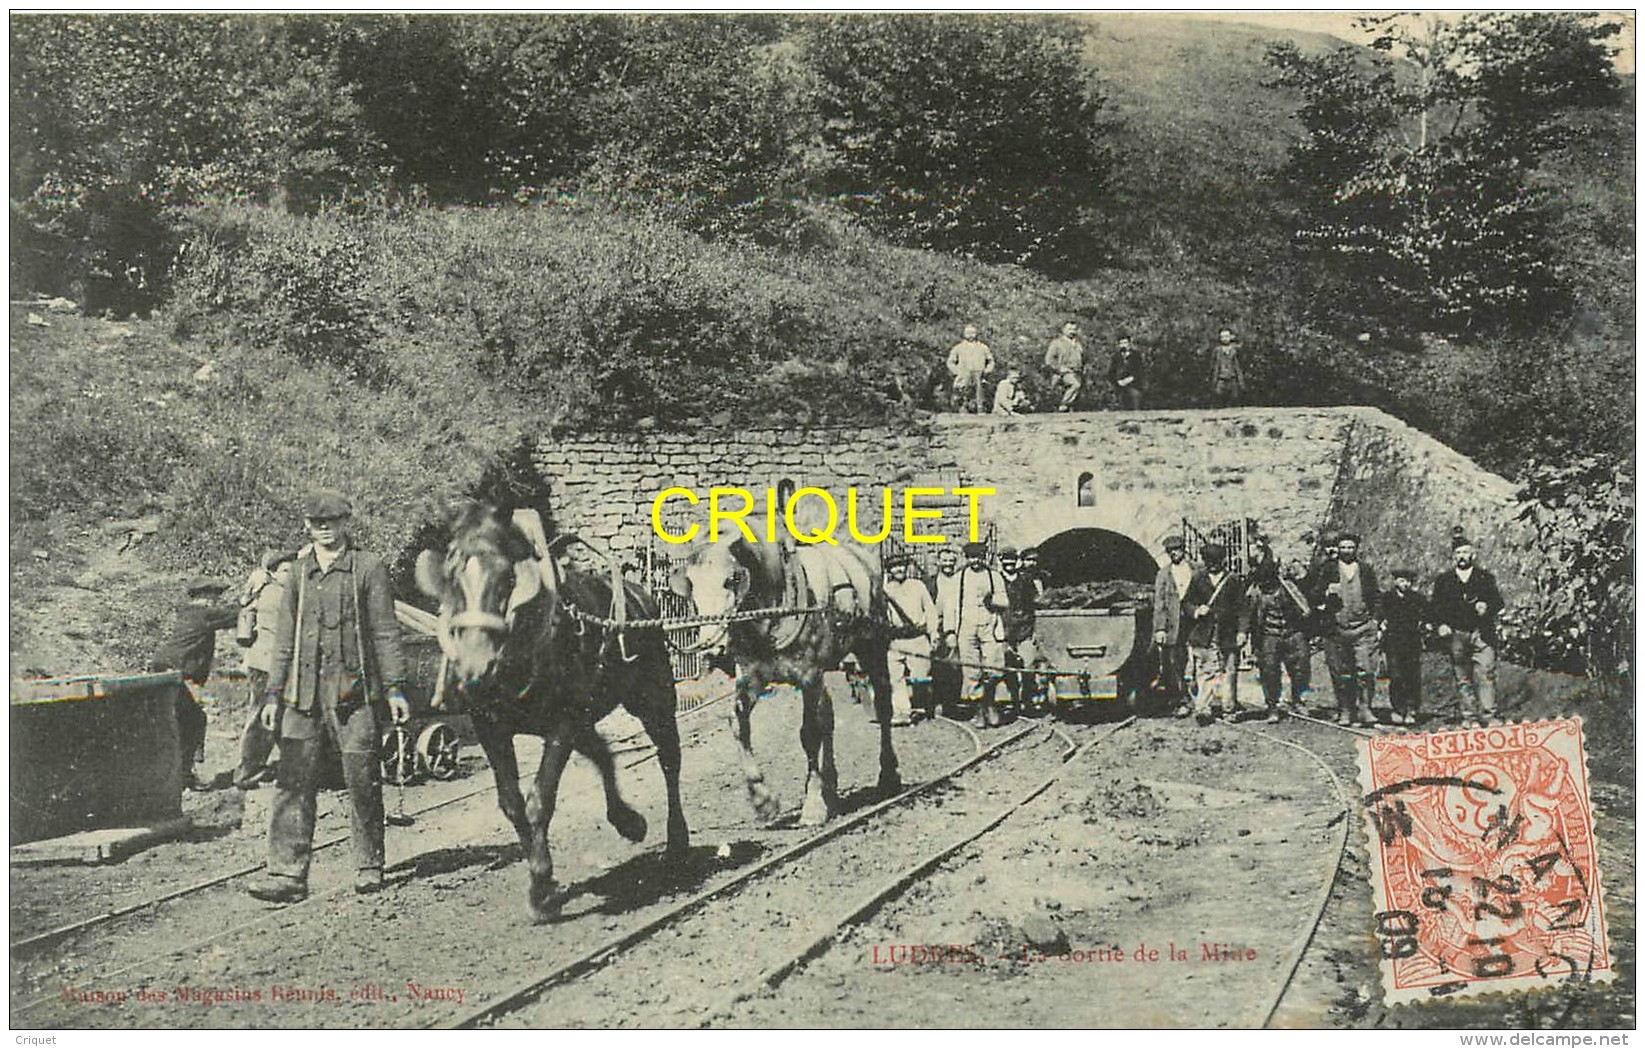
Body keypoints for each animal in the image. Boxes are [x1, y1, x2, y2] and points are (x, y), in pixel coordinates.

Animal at [421, 506, 690, 927]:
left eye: (508, 579)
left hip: (652, 697)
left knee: (668, 758)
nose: (475, 668)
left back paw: (677, 840)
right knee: (602, 753)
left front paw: (541, 890)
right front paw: (542, 880)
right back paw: (626, 820)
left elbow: (539, 800)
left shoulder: (562, 722)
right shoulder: (490, 727)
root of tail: (640, 594)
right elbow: (512, 804)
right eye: (452, 580)